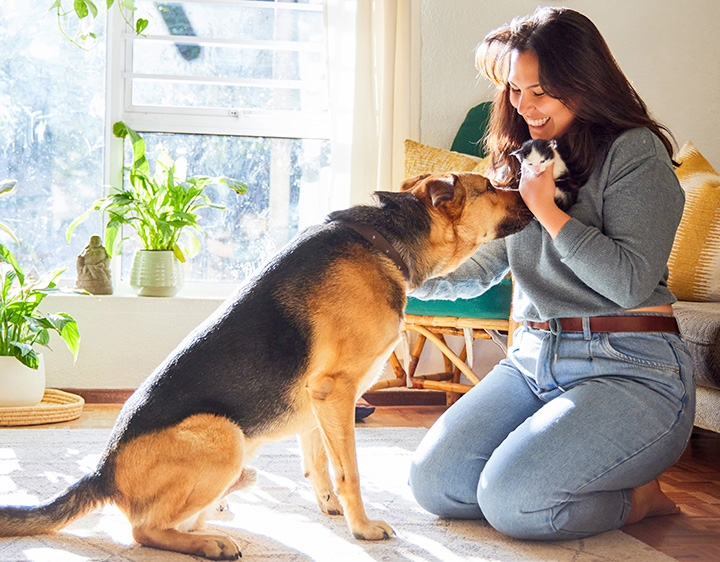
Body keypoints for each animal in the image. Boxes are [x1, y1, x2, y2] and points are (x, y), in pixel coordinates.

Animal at [0, 171, 528, 556]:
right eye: (490, 186)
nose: (534, 186)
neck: (383, 239)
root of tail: (103, 471)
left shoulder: (318, 401)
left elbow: (320, 463)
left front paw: (331, 510)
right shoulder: (335, 390)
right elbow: (350, 471)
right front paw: (361, 528)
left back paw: (215, 520)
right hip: (224, 437)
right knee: (144, 529)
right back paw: (210, 543)